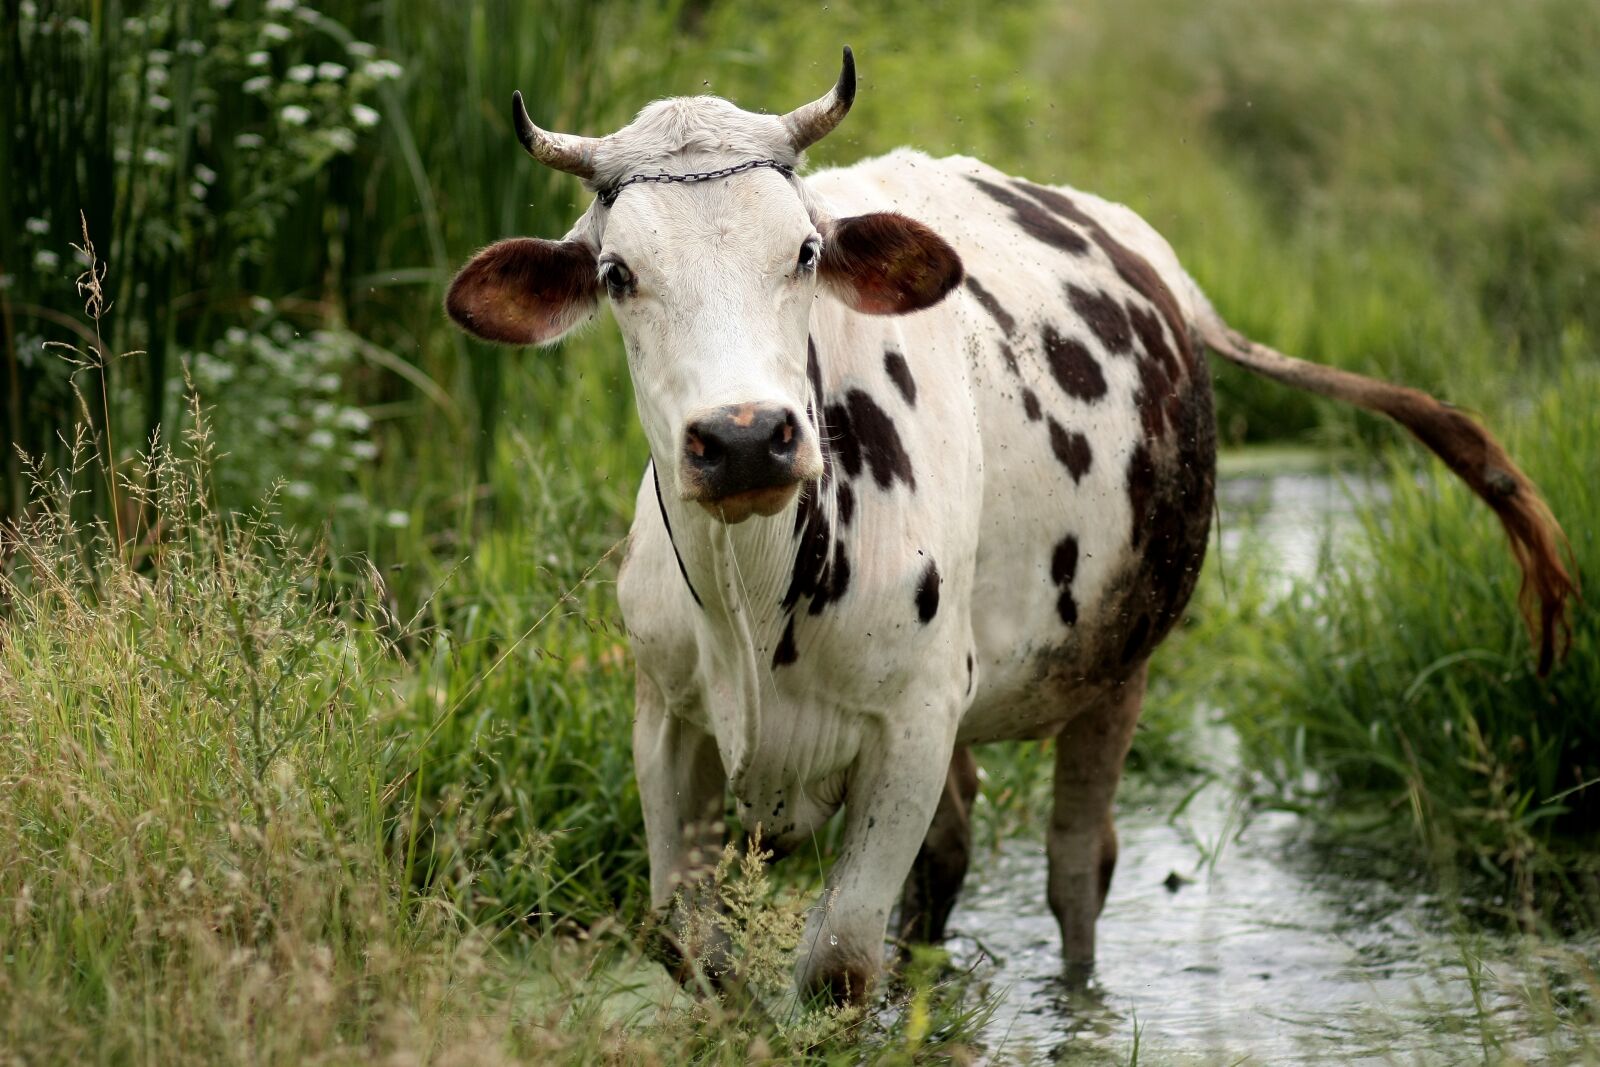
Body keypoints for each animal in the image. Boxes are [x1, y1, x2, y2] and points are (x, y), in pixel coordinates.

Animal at [445, 49, 1574, 1005]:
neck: (752, 602)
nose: (745, 438)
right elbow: (697, 952)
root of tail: (1148, 250)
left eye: (803, 250)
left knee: (1077, 868)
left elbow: (839, 962)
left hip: (1117, 664)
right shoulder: (666, 721)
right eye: (618, 275)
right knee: (947, 865)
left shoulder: (911, 722)